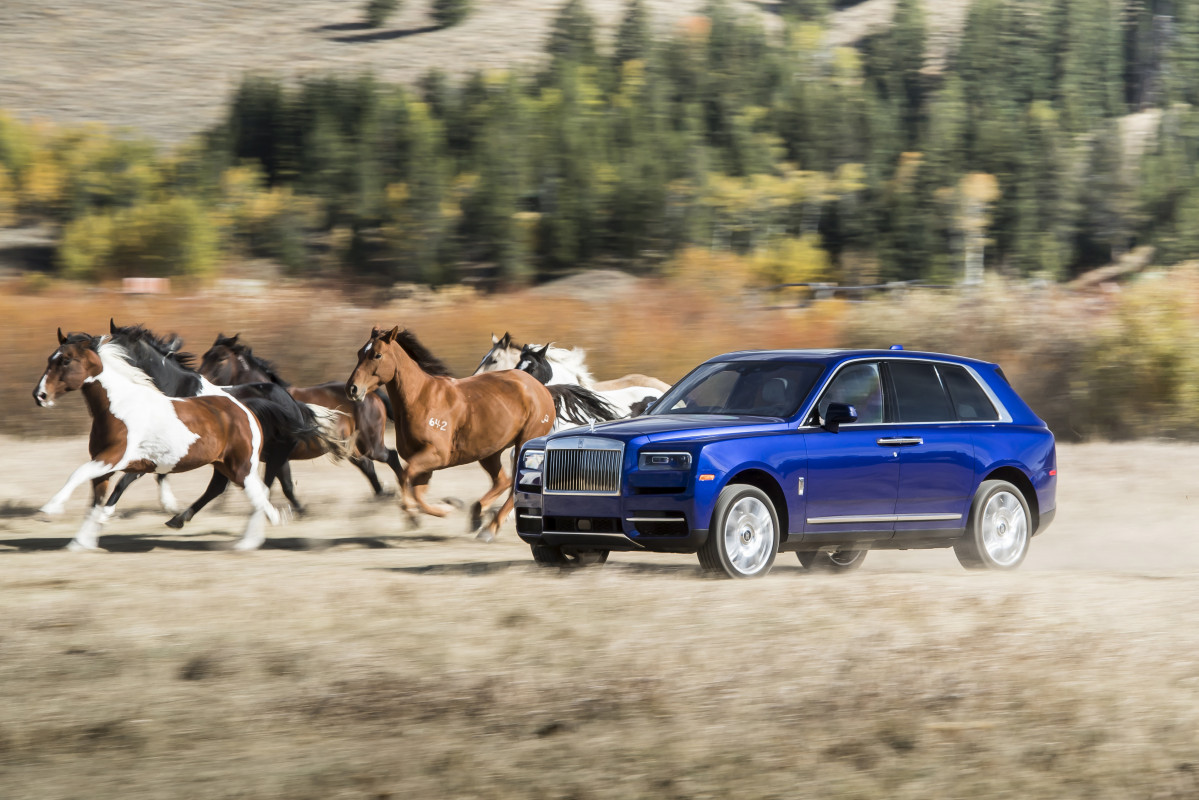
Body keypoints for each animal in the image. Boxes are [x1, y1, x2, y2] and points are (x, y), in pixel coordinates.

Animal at [35, 331, 335, 551]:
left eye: (65, 361)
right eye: (51, 358)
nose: (39, 395)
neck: (119, 406)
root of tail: (246, 407)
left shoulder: (116, 457)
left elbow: (81, 475)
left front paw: (48, 510)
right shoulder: (108, 463)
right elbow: (97, 498)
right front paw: (81, 542)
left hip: (245, 465)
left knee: (261, 491)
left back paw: (256, 534)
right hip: (229, 465)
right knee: (246, 489)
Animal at [345, 326, 553, 544]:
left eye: (377, 355)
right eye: (359, 353)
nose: (352, 389)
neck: (420, 398)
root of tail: (539, 388)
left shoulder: (436, 455)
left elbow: (406, 477)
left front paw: (433, 509)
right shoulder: (424, 464)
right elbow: (415, 489)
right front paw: (433, 510)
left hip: (523, 443)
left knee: (514, 485)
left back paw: (489, 529)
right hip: (489, 452)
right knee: (502, 481)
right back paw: (477, 515)